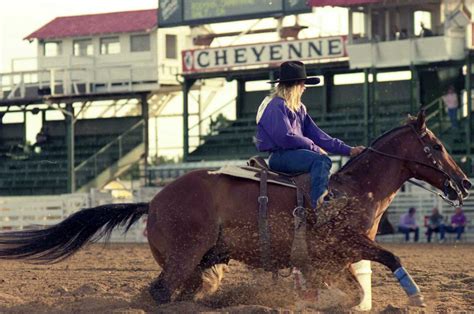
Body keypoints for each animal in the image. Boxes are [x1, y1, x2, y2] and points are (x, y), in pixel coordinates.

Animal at [0, 111, 470, 310]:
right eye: (436, 146)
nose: (464, 183)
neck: (350, 191)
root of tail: (153, 200)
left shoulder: (332, 261)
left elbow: (354, 292)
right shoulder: (347, 246)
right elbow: (391, 256)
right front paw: (415, 295)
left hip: (201, 263)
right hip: (185, 258)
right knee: (160, 295)